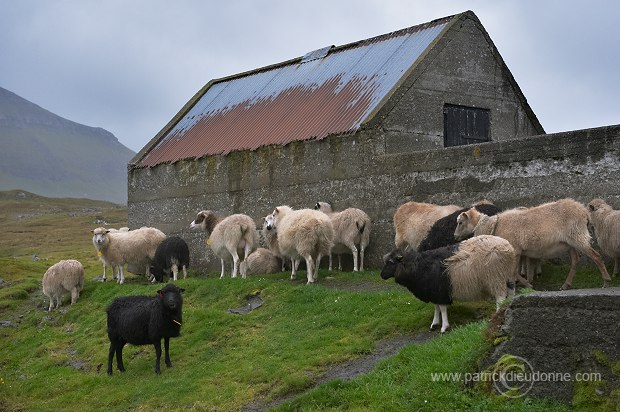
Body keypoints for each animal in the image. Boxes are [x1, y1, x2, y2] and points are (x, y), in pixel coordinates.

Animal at [380, 233, 516, 334]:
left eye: (391, 262)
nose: (381, 275)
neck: (417, 267)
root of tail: (508, 247)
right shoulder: (433, 291)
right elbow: (436, 307)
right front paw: (434, 323)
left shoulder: (439, 291)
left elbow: (442, 308)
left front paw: (444, 327)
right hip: (508, 276)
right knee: (511, 293)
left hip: (496, 277)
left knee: (500, 298)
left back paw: (497, 314)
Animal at [452, 199, 612, 290]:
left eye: (460, 222)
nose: (454, 237)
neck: (495, 225)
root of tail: (584, 212)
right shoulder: (518, 251)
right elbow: (515, 272)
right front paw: (526, 283)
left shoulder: (516, 250)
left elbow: (514, 272)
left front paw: (527, 285)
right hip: (571, 242)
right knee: (575, 262)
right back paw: (566, 285)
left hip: (578, 237)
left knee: (596, 256)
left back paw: (606, 281)